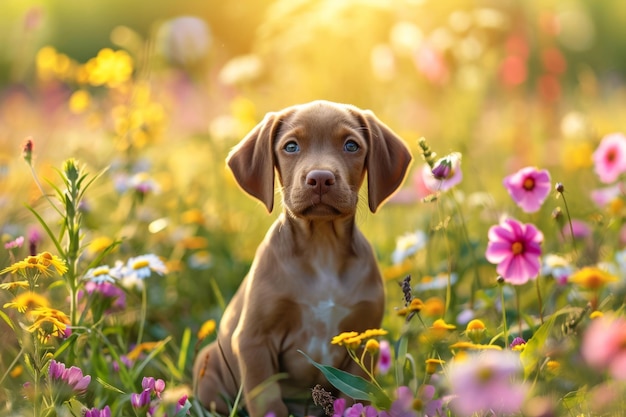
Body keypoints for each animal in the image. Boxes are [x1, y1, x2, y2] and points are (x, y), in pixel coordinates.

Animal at [193, 101, 412, 416]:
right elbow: (268, 401)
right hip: (208, 364)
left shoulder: (362, 339)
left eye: (351, 145)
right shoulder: (253, 341)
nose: (320, 178)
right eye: (291, 146)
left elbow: (357, 399)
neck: (322, 247)